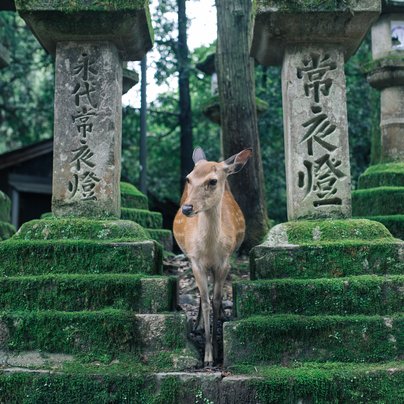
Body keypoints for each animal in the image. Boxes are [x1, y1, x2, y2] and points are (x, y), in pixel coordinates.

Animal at [172, 146, 251, 366]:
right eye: (188, 178)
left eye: (213, 181)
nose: (187, 208)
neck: (209, 249)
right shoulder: (195, 261)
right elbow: (207, 301)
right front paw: (207, 356)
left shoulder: (224, 262)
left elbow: (216, 300)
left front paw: (216, 351)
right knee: (201, 294)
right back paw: (198, 324)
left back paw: (223, 315)